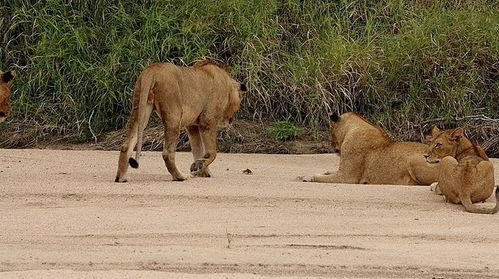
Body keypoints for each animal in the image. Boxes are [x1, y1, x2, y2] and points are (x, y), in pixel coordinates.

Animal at [114, 61, 246, 183]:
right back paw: (180, 176)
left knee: (126, 145)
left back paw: (121, 178)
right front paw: (200, 168)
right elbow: (211, 152)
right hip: (174, 115)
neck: (227, 84)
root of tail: (152, 70)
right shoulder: (207, 121)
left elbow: (198, 151)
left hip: (140, 108)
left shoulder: (192, 126)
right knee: (167, 153)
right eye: (240, 102)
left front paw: (200, 170)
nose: (231, 120)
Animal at [298, 111, 440, 186]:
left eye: (331, 130)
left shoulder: (347, 177)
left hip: (413, 160)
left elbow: (318, 177)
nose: (332, 146)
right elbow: (327, 172)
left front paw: (306, 177)